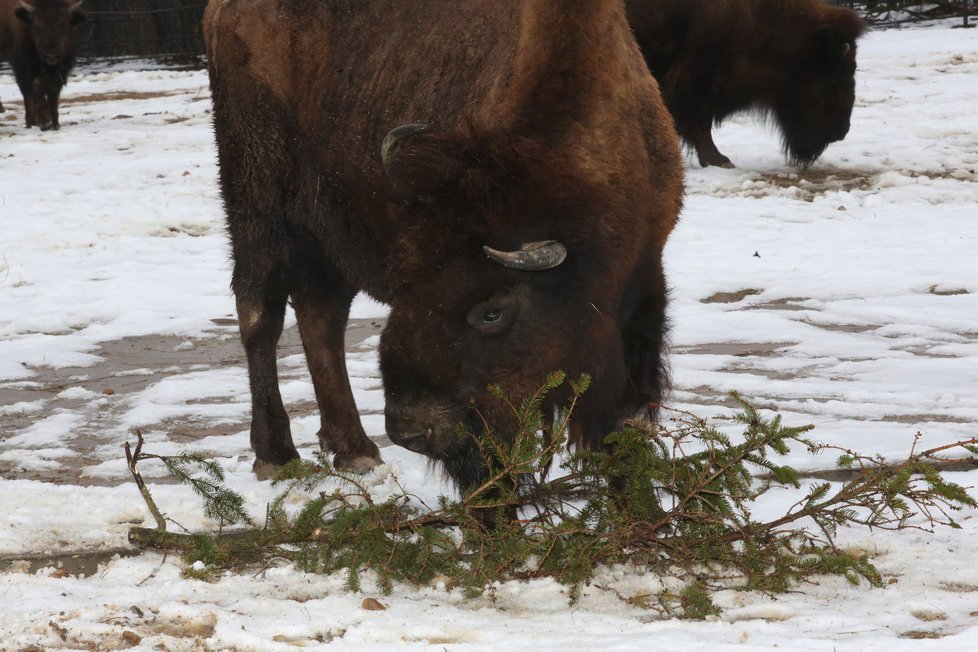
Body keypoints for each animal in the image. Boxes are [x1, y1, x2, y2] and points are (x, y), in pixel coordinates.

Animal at [0, 0, 86, 131]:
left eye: (64, 24)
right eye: (36, 25)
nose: (51, 55)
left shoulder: (61, 68)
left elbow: (53, 90)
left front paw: (55, 123)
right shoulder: (23, 66)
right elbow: (35, 87)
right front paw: (45, 121)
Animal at [203, 0, 684, 488]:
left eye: (492, 312)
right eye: (404, 287)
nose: (411, 431)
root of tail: (221, 11)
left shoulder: (644, 283)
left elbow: (623, 418)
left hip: (327, 236)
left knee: (321, 318)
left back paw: (355, 450)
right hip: (259, 207)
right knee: (261, 315)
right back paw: (277, 455)